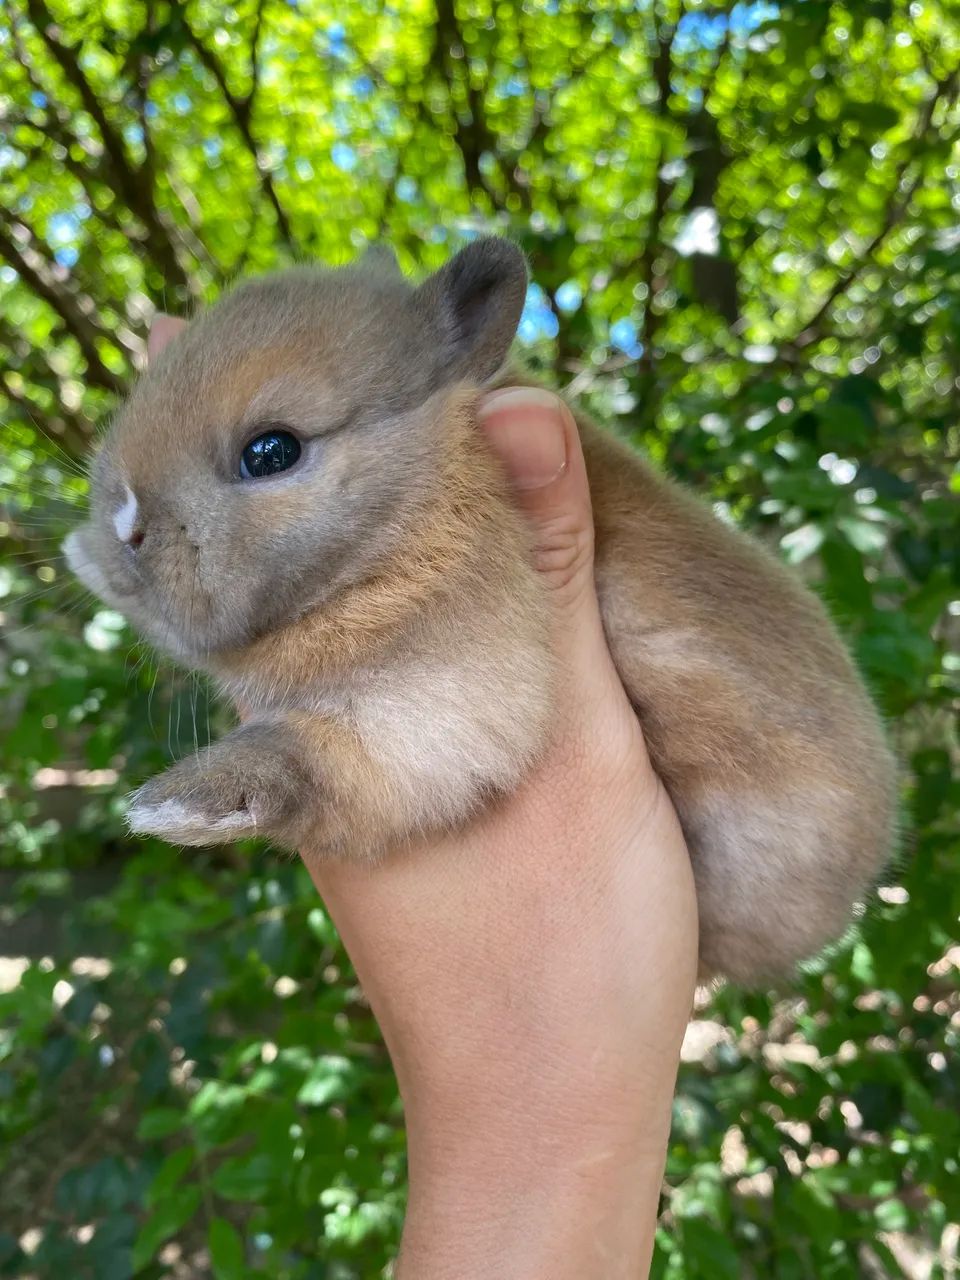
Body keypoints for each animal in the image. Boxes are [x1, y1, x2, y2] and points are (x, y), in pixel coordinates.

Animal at [64, 237, 897, 984]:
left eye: (272, 452)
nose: (121, 528)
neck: (422, 494)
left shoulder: (452, 690)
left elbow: (321, 750)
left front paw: (176, 805)